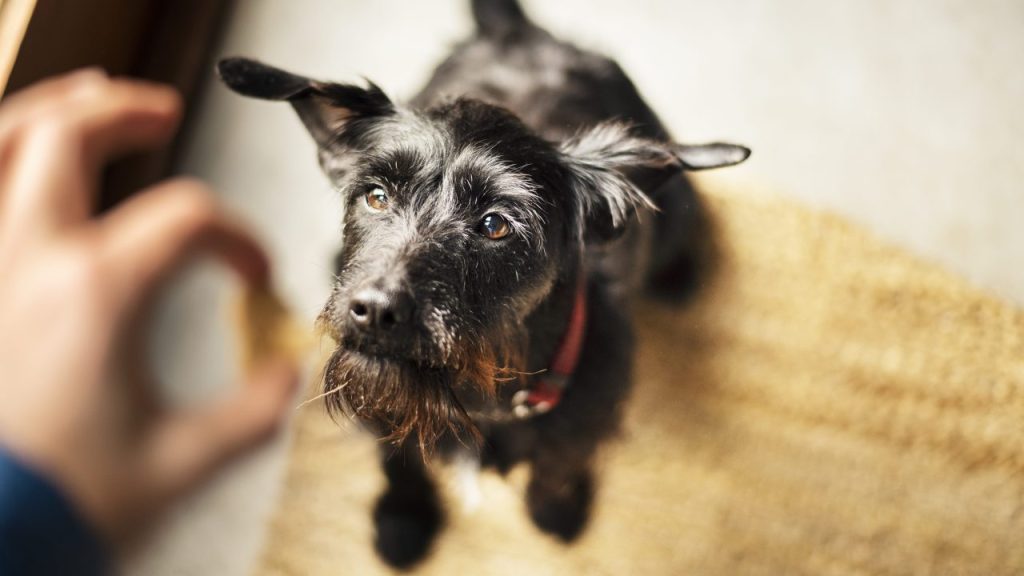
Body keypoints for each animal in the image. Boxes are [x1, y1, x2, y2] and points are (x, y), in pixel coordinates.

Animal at [218, 0, 745, 565]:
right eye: (376, 195)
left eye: (495, 224)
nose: (376, 309)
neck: (479, 394)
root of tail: (515, 31)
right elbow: (398, 457)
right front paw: (402, 518)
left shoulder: (585, 417)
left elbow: (559, 464)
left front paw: (556, 510)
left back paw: (680, 272)